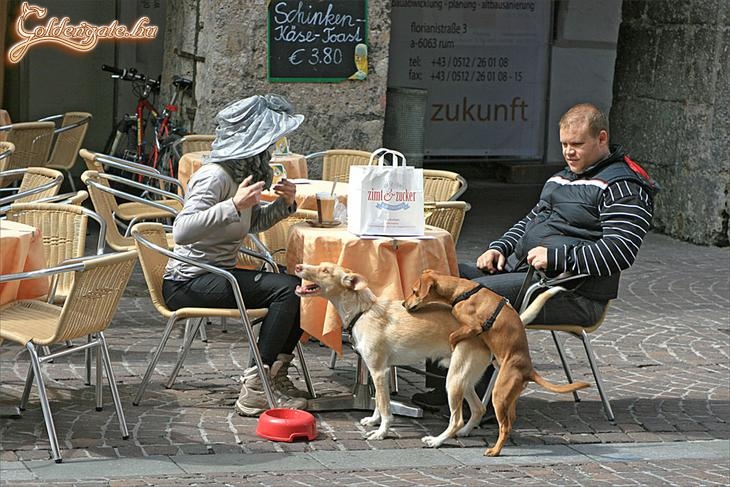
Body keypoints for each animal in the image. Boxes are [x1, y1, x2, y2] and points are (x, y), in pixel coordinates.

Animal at [400, 270, 588, 458]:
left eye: (414, 291)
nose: (403, 303)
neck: (462, 291)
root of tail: (528, 369)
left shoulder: (474, 327)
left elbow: (453, 336)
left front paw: (450, 352)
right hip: (508, 398)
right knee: (510, 421)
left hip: (498, 395)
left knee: (504, 427)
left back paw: (494, 450)